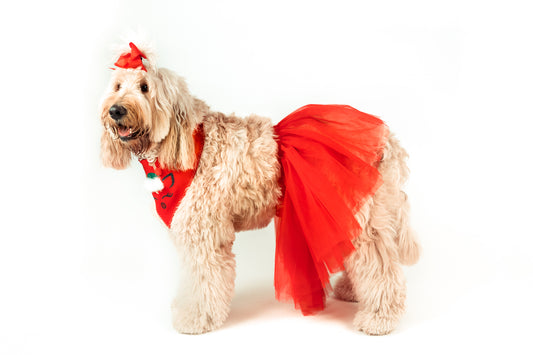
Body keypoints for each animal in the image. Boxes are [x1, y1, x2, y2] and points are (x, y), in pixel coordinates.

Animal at [97, 42, 418, 336]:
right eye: (117, 86)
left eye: (145, 88)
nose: (115, 110)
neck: (190, 145)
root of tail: (389, 139)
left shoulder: (204, 235)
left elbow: (202, 281)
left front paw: (194, 318)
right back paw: (352, 292)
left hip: (360, 215)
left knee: (381, 266)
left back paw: (379, 318)